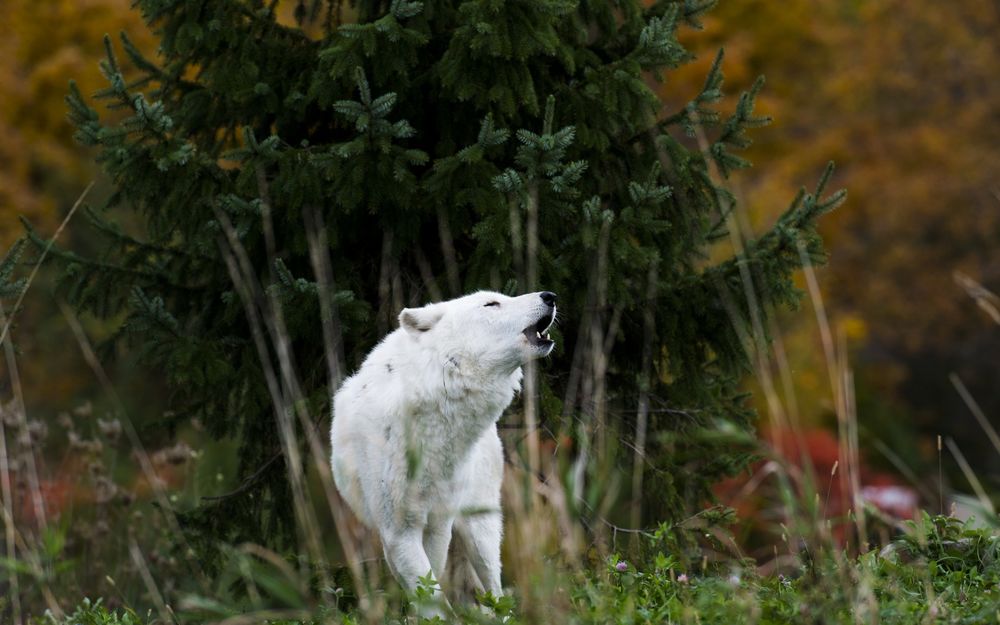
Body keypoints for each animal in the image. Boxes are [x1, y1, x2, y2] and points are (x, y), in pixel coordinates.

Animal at [329, 290, 557, 614]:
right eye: (491, 304)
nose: (550, 296)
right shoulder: (398, 531)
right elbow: (428, 592)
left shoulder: (438, 524)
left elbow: (432, 583)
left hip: (479, 529)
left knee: (495, 590)